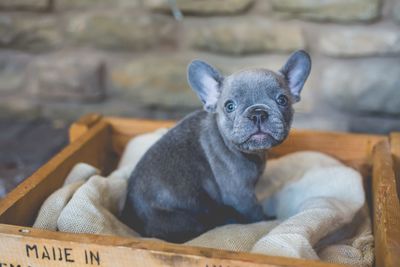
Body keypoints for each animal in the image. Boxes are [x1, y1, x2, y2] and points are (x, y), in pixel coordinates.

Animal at [122, 49, 312, 244]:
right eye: (230, 106)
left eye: (282, 100)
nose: (258, 113)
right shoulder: (241, 195)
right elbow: (256, 214)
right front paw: (269, 219)